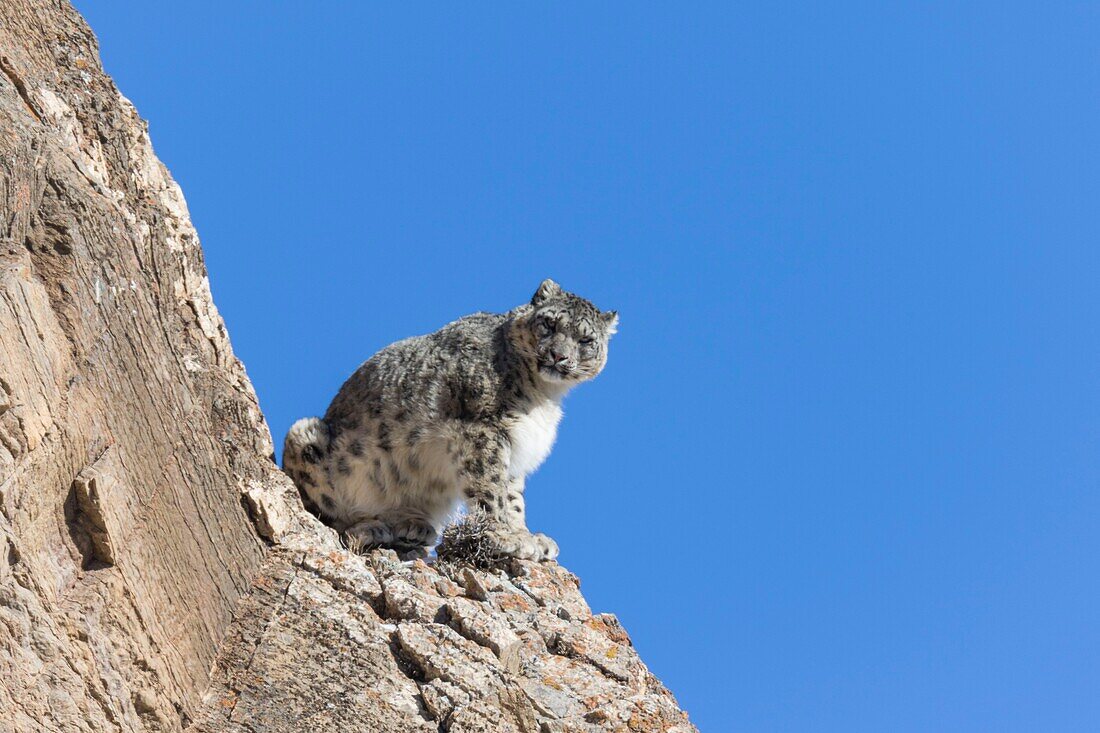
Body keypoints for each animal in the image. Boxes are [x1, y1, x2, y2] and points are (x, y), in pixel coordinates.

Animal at [283, 279, 620, 559]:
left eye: (586, 340)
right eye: (549, 324)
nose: (558, 356)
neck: (543, 395)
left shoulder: (516, 445)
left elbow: (513, 496)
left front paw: (527, 535)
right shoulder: (483, 430)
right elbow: (491, 488)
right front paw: (506, 536)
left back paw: (411, 525)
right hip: (306, 437)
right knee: (328, 517)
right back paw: (375, 526)